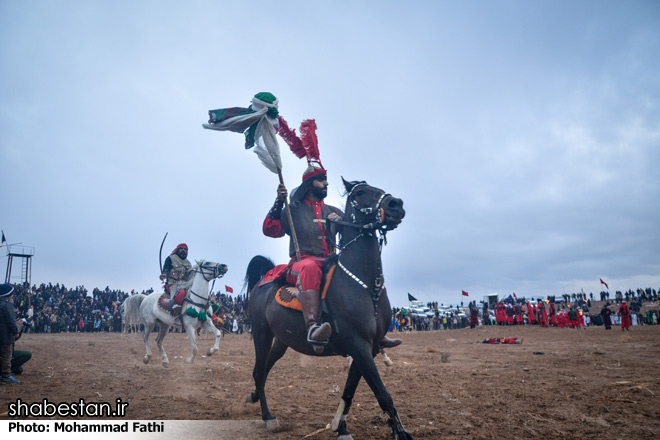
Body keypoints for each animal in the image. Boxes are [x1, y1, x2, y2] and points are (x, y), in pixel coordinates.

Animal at [245, 179, 410, 440]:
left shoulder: (369, 349)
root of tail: (268, 279)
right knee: (260, 371)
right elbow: (383, 395)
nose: (396, 205)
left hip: (282, 341)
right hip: (262, 334)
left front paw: (340, 428)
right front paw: (401, 433)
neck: (365, 286)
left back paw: (255, 399)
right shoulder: (359, 345)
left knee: (262, 369)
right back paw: (268, 417)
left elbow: (349, 392)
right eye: (360, 192)